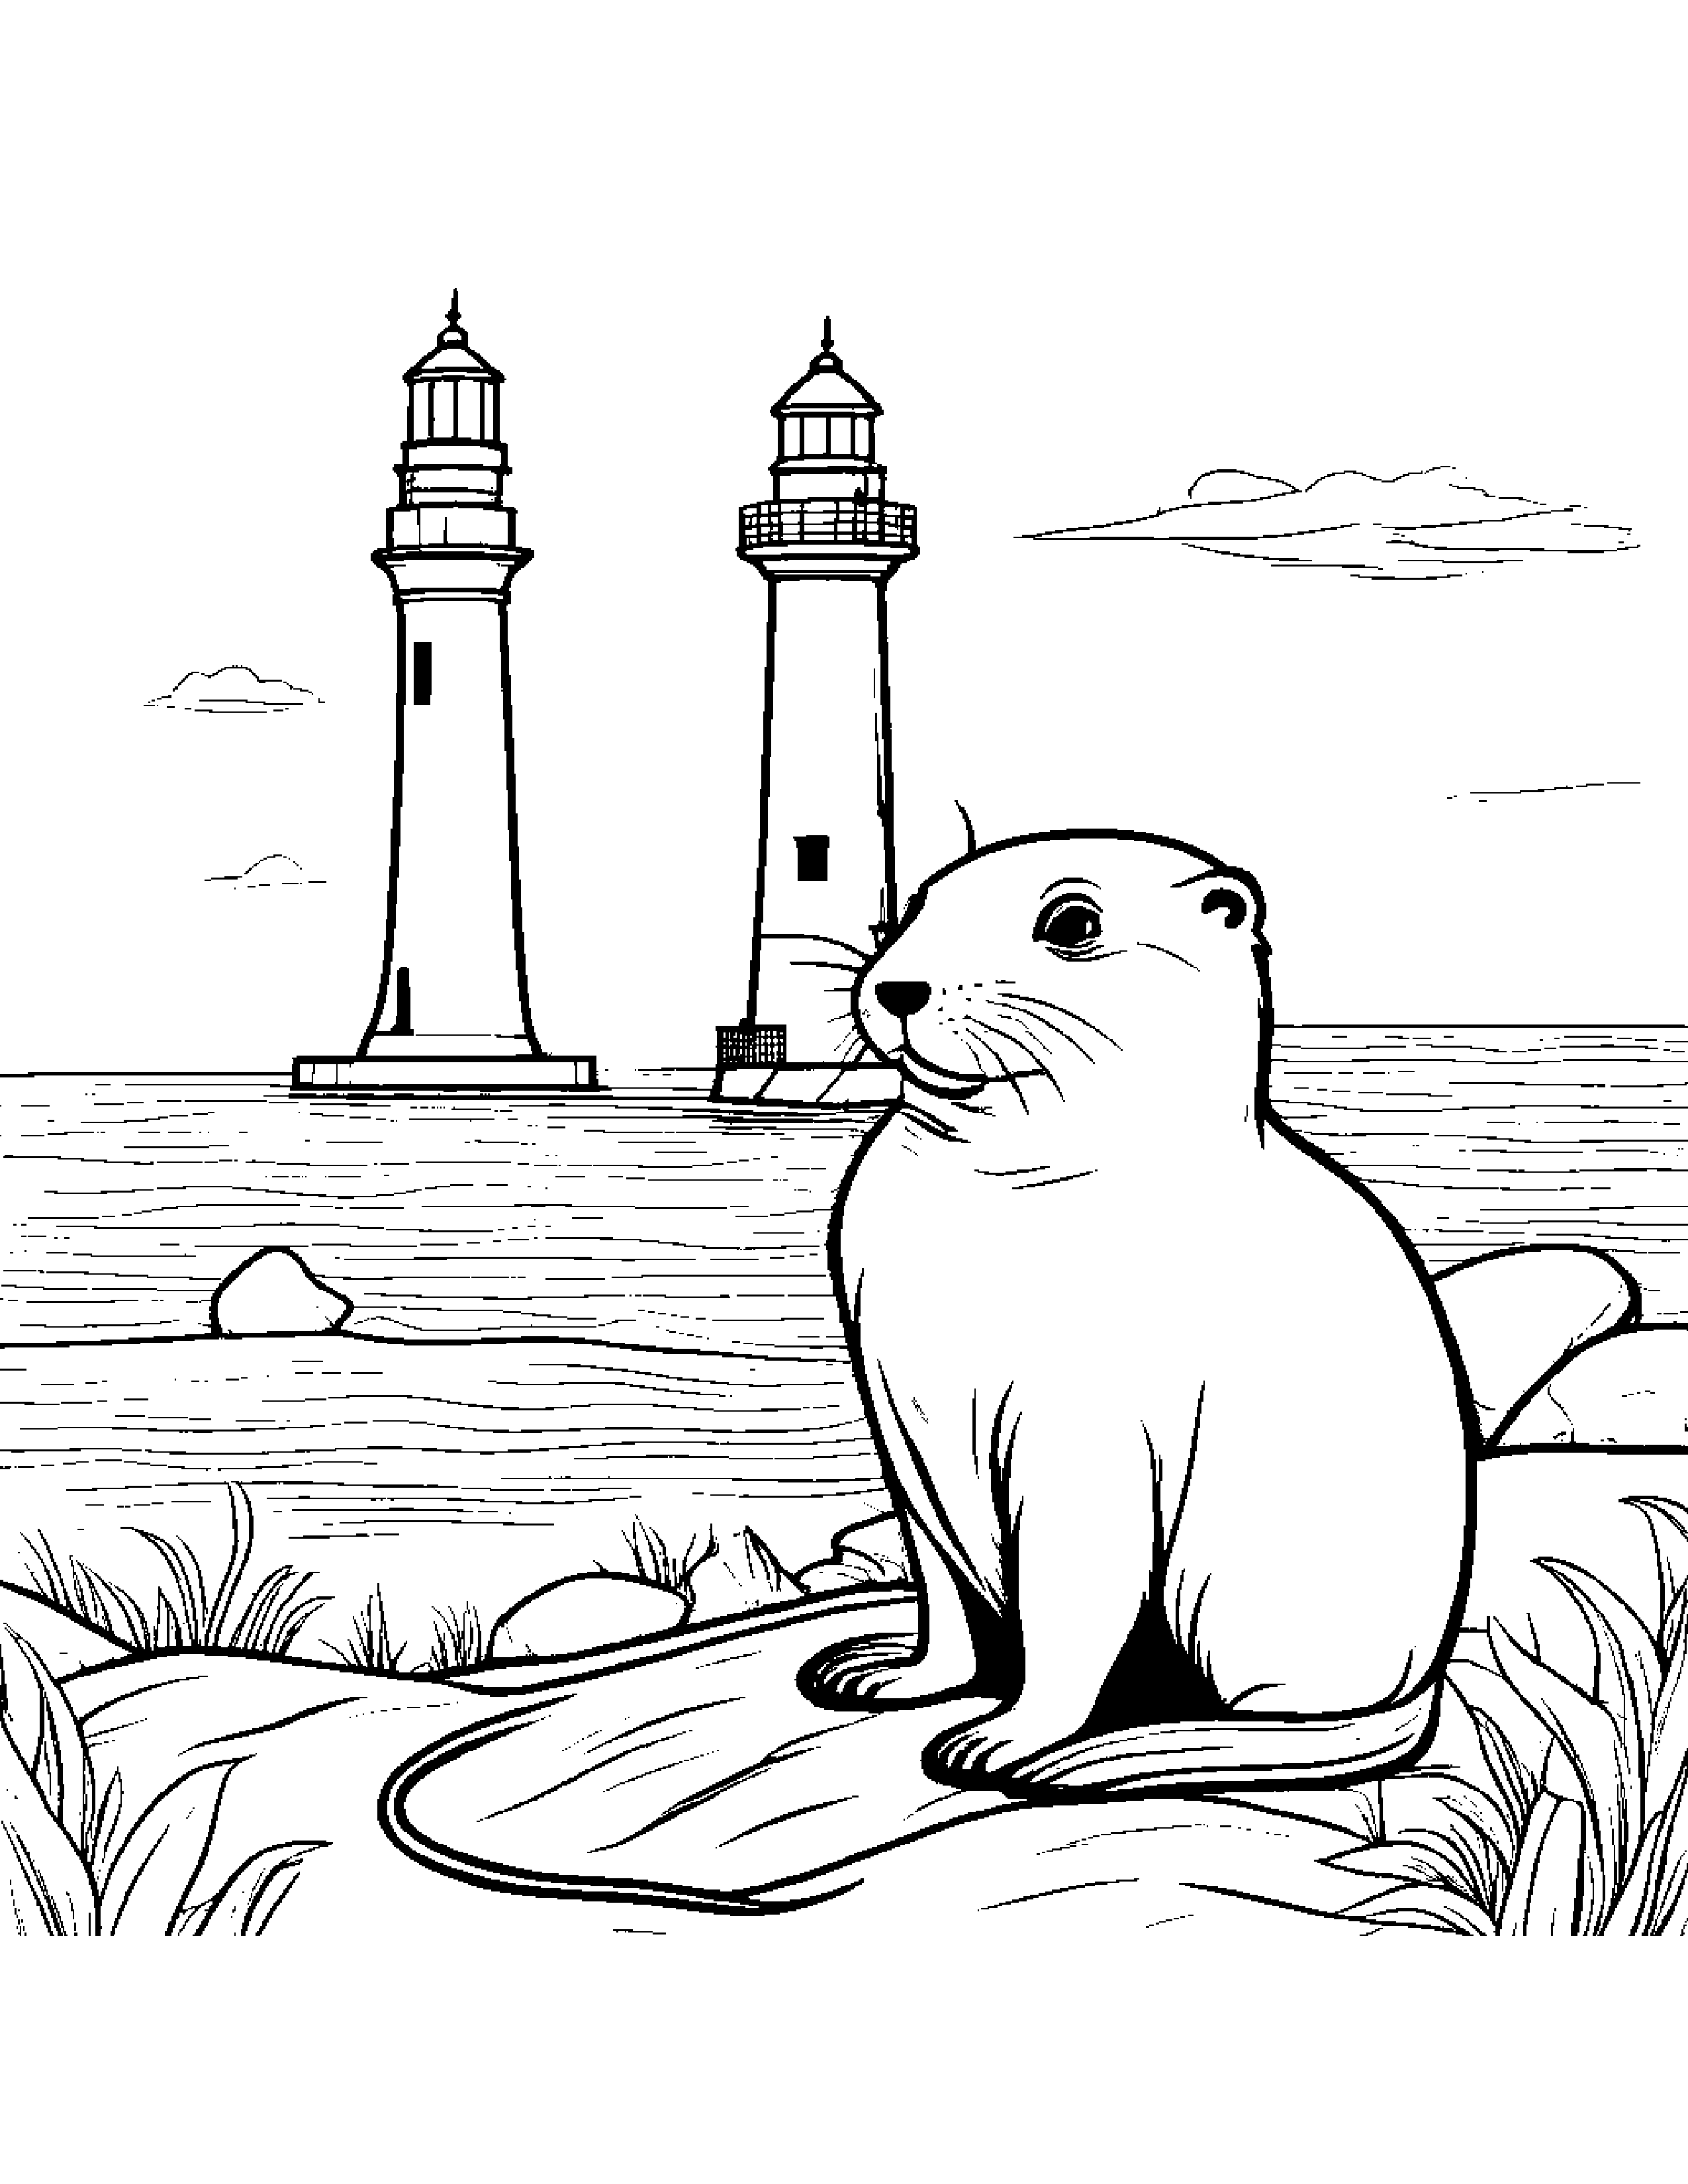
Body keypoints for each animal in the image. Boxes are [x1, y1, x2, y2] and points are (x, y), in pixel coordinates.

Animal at [800, 830, 1477, 1795]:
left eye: (1072, 921)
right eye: (914, 910)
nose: (899, 988)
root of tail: (1424, 1679)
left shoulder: (1085, 1427)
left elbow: (1071, 1599)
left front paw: (1006, 1739)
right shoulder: (898, 1418)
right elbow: (940, 1590)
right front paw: (894, 1675)